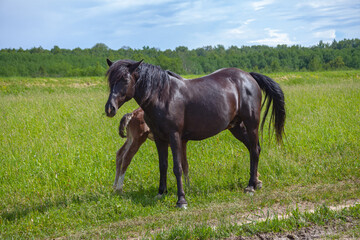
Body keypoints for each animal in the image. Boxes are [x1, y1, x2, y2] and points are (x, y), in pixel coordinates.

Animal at [105, 58, 286, 208]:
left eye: (125, 79)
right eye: (110, 81)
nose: (110, 108)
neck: (163, 95)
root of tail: (248, 76)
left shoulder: (174, 136)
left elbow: (177, 167)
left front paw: (181, 200)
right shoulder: (159, 138)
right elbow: (163, 166)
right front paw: (161, 193)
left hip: (251, 124)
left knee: (254, 150)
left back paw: (250, 186)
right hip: (236, 127)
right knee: (254, 149)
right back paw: (256, 182)